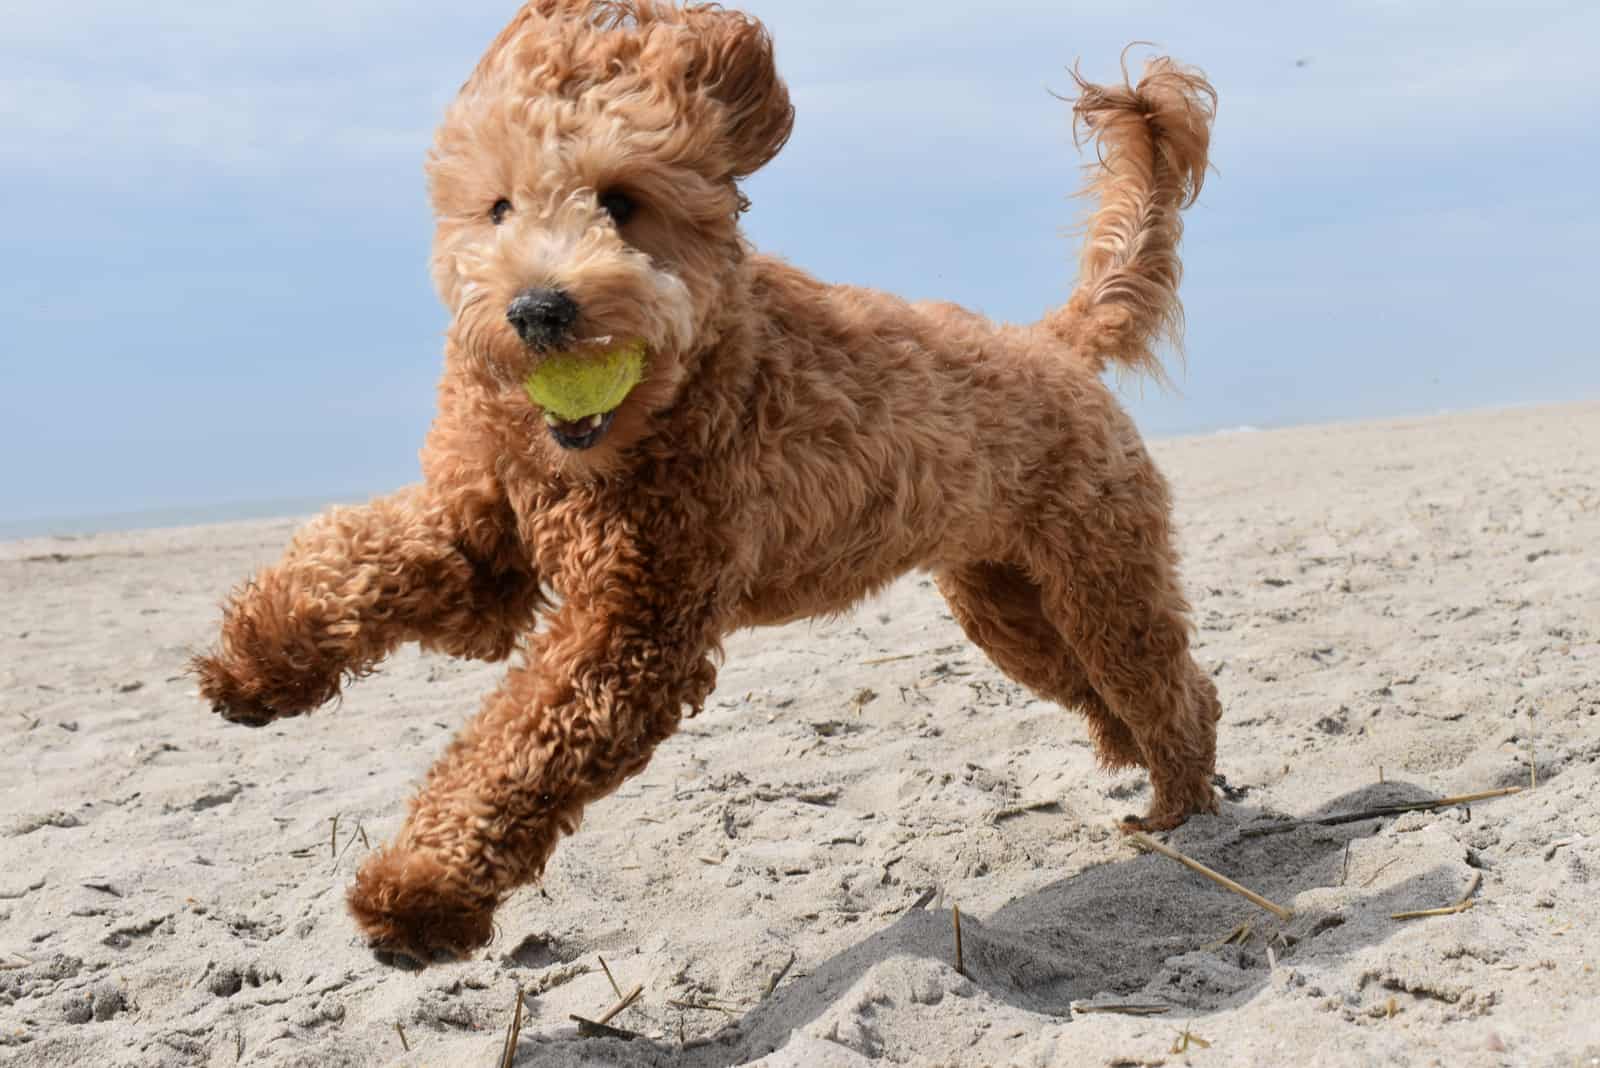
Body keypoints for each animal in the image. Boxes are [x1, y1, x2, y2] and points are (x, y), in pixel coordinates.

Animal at [193, 0, 1216, 965]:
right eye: (498, 207)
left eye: (621, 201)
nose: (536, 310)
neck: (627, 427)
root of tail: (1053, 342)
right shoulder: (484, 533)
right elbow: (355, 556)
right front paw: (257, 660)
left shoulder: (637, 625)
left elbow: (515, 750)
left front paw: (419, 892)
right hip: (1008, 604)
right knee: (1111, 688)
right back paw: (1139, 769)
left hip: (1100, 578)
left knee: (1171, 688)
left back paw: (1179, 807)